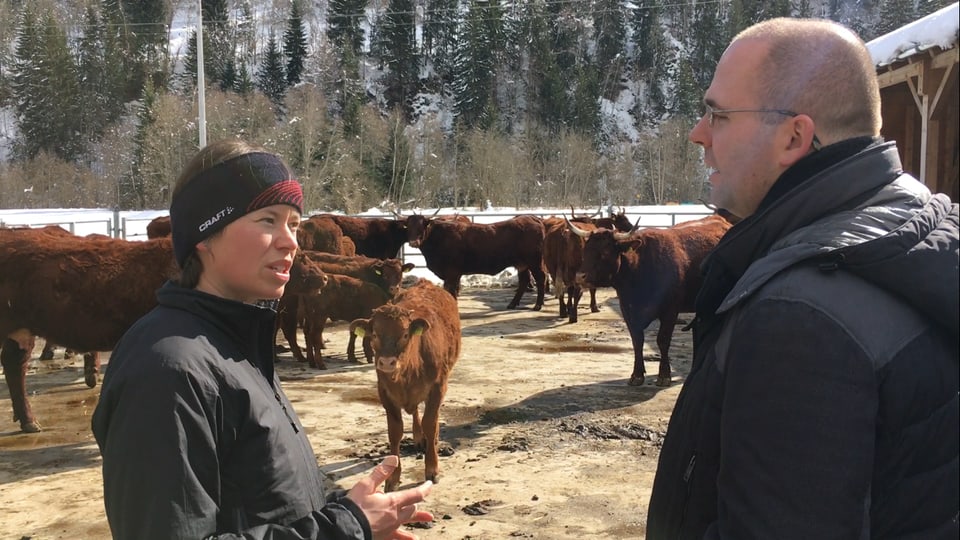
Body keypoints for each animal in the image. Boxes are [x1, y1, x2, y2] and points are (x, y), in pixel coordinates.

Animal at [352, 280, 462, 492]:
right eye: (374, 334)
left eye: (404, 334)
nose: (387, 362)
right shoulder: (385, 392)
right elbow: (395, 432)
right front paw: (393, 478)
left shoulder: (438, 387)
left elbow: (430, 423)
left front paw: (432, 468)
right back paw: (419, 438)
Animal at [568, 213, 728, 386]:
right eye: (585, 251)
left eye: (604, 252)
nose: (580, 276)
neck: (639, 268)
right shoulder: (628, 310)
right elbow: (637, 340)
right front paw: (637, 374)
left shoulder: (670, 311)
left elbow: (663, 340)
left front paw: (664, 375)